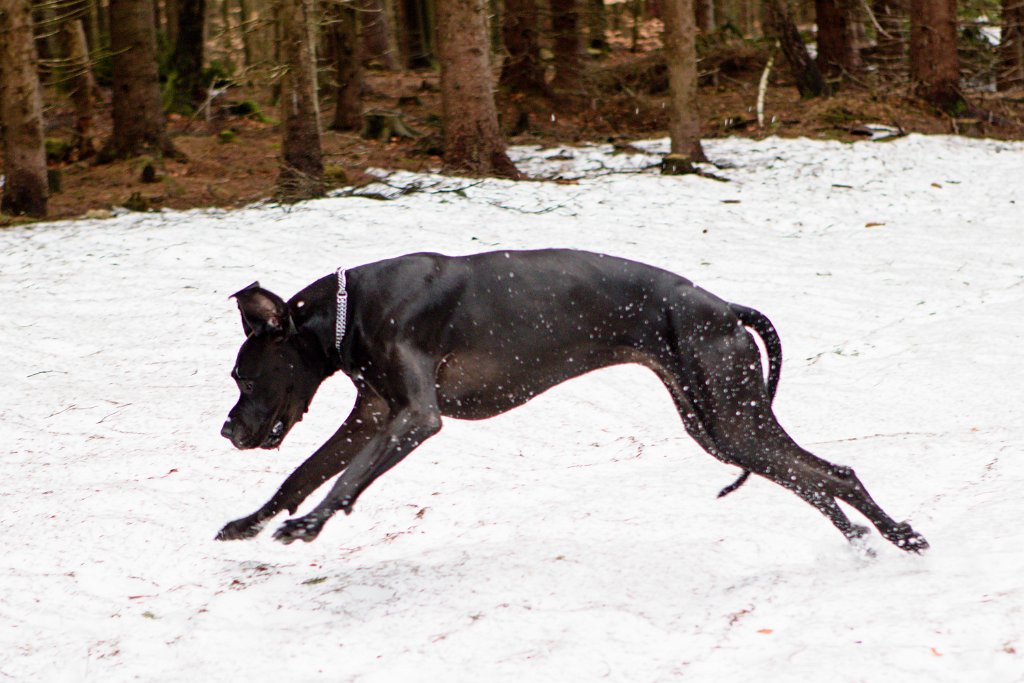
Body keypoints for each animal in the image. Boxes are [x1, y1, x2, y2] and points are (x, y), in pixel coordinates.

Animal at [218, 248, 929, 552]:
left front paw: (310, 524)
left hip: (730, 417)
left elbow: (347, 479)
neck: (349, 310)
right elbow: (301, 473)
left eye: (242, 377)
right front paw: (249, 520)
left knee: (833, 471)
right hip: (718, 425)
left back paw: (897, 534)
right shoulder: (372, 414)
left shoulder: (415, 417)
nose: (228, 432)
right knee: (809, 476)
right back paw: (862, 537)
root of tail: (725, 307)